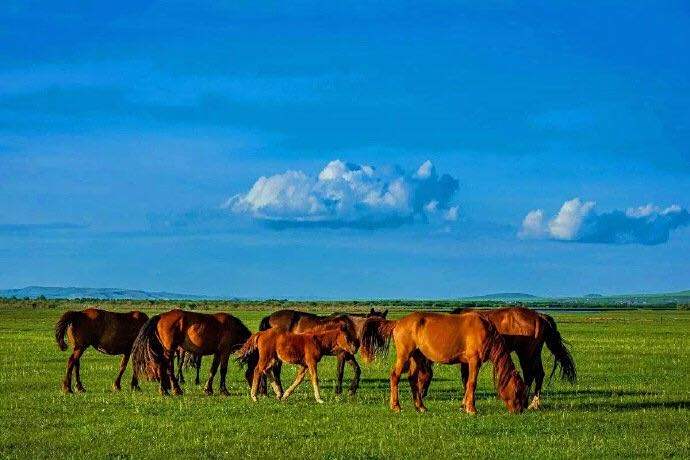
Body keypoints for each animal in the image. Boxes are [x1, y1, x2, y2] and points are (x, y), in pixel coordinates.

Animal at [258, 306, 388, 396]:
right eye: (374, 324)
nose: (381, 345)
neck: (351, 327)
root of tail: (270, 317)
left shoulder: (348, 355)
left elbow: (357, 370)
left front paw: (352, 390)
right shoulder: (341, 354)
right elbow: (340, 372)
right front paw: (338, 392)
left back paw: (266, 392)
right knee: (275, 370)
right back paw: (278, 391)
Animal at [358, 310, 524, 416]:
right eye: (517, 391)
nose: (519, 411)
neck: (484, 330)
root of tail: (398, 322)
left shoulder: (467, 363)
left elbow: (467, 383)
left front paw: (464, 406)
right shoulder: (474, 361)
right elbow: (472, 383)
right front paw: (472, 409)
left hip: (417, 356)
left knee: (412, 379)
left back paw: (421, 407)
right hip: (404, 355)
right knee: (395, 376)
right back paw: (396, 406)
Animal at [436, 306, 576, 410]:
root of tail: (540, 316)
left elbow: (466, 380)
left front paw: (464, 404)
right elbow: (466, 379)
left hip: (525, 353)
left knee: (529, 374)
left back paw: (528, 402)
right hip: (534, 353)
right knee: (539, 374)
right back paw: (534, 404)